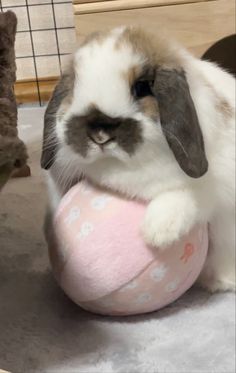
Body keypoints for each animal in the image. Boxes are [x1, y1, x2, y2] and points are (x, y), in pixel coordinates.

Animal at [40, 27, 234, 292]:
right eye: (74, 87)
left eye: (142, 88)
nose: (100, 134)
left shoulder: (210, 191)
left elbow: (187, 196)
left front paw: (158, 232)